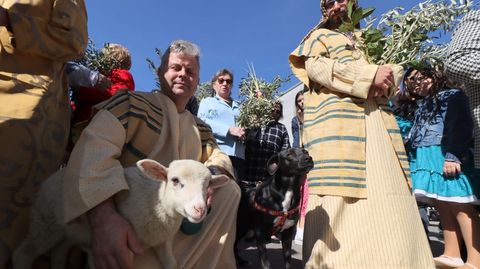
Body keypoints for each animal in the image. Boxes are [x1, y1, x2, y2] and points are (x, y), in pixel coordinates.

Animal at [11, 158, 229, 266]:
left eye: (208, 185)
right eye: (175, 180)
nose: (200, 210)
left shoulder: (163, 241)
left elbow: (171, 263)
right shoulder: (119, 247)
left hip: (69, 232)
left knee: (59, 251)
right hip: (45, 221)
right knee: (23, 254)